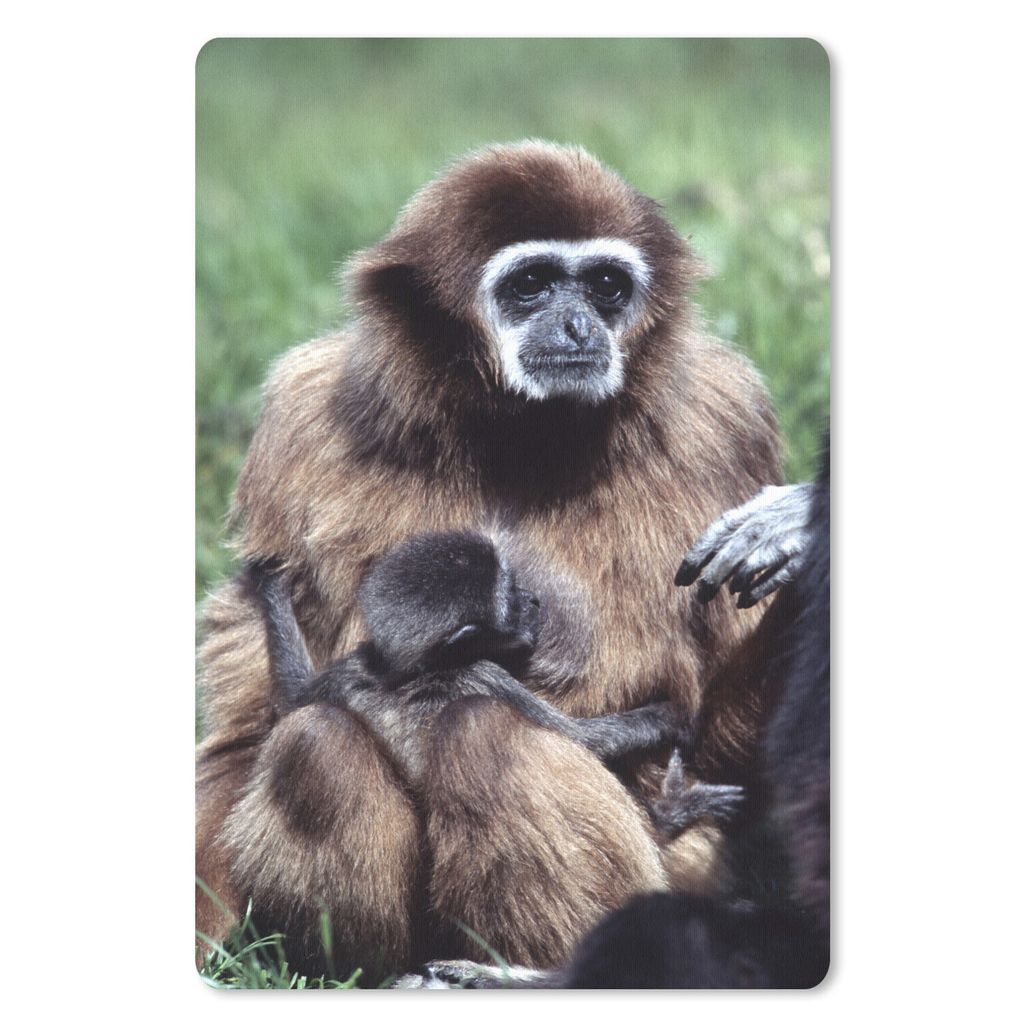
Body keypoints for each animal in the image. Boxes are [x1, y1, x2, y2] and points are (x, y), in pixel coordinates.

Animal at [197, 141, 783, 976]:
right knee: (317, 741)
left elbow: (726, 737)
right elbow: (252, 730)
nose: (576, 322)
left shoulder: (728, 421)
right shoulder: (296, 426)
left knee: (485, 735)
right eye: (530, 283)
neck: (515, 438)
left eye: (606, 286)